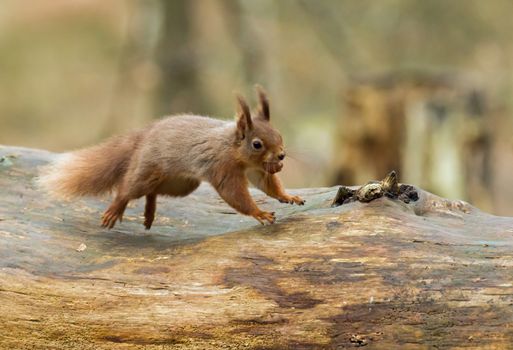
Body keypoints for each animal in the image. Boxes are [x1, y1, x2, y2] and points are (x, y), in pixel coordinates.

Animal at [41, 87, 304, 230]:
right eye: (257, 144)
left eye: (279, 134)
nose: (281, 155)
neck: (233, 149)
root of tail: (145, 134)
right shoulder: (222, 167)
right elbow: (235, 195)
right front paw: (260, 213)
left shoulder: (256, 170)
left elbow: (268, 185)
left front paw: (288, 196)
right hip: (148, 169)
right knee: (128, 189)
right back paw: (116, 209)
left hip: (182, 184)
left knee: (153, 192)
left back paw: (149, 213)